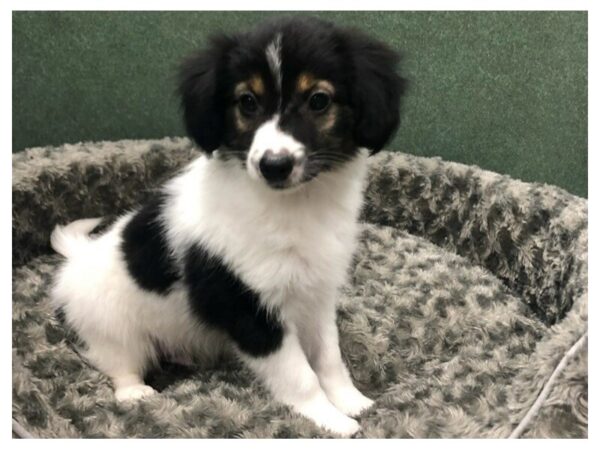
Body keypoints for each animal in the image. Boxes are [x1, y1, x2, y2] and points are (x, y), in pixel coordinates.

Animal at [51, 16, 406, 436]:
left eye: (318, 100)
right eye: (247, 102)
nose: (273, 165)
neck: (293, 207)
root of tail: (80, 256)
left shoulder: (317, 292)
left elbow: (328, 355)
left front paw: (351, 401)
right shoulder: (246, 305)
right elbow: (299, 373)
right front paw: (329, 419)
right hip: (113, 327)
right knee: (119, 363)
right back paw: (135, 393)